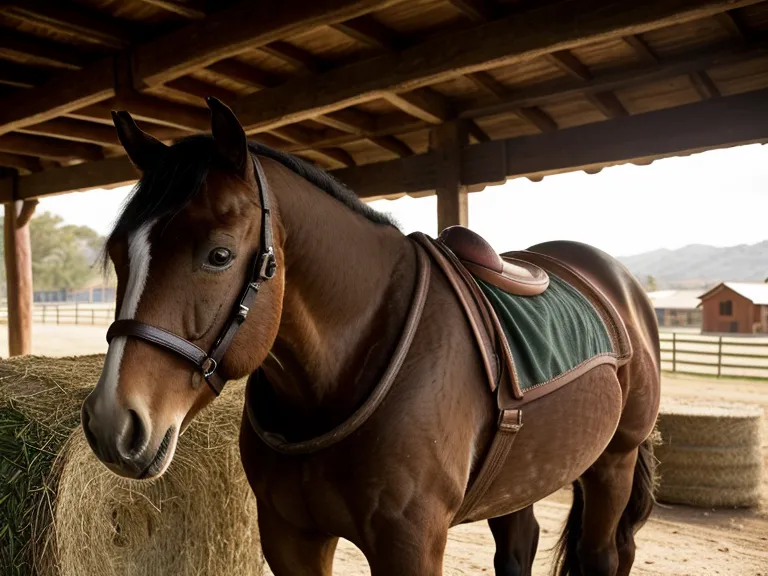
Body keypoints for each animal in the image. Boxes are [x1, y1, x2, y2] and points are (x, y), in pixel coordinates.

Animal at [81, 97, 660, 576]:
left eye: (219, 254)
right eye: (118, 253)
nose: (112, 422)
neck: (341, 371)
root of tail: (616, 280)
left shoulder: (410, 544)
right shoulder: (289, 538)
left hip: (614, 461)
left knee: (605, 555)